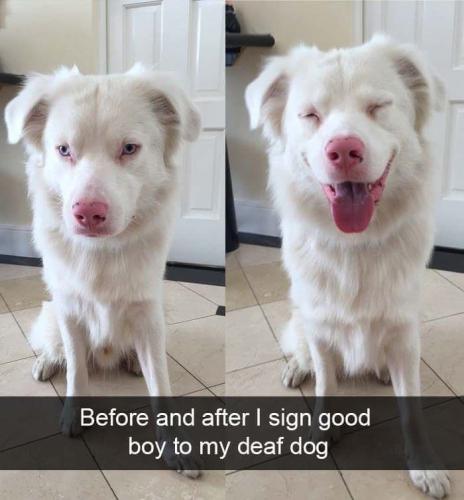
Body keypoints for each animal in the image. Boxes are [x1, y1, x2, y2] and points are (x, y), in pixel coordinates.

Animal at [246, 37, 450, 498]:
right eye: (310, 115)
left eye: (377, 107)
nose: (342, 151)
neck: (354, 245)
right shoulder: (321, 325)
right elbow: (326, 380)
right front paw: (323, 430)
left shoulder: (404, 332)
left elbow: (411, 408)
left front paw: (424, 466)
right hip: (299, 320)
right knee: (301, 350)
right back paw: (296, 367)